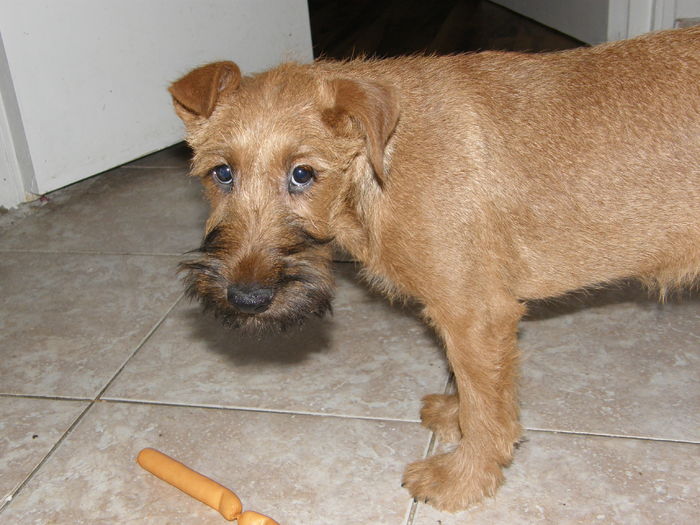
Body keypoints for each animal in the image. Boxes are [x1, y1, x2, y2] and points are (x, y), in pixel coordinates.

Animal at [168, 26, 700, 510]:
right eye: (222, 173)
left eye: (303, 174)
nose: (247, 299)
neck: (377, 163)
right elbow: (475, 386)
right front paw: (454, 414)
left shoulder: (476, 314)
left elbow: (487, 410)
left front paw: (462, 479)